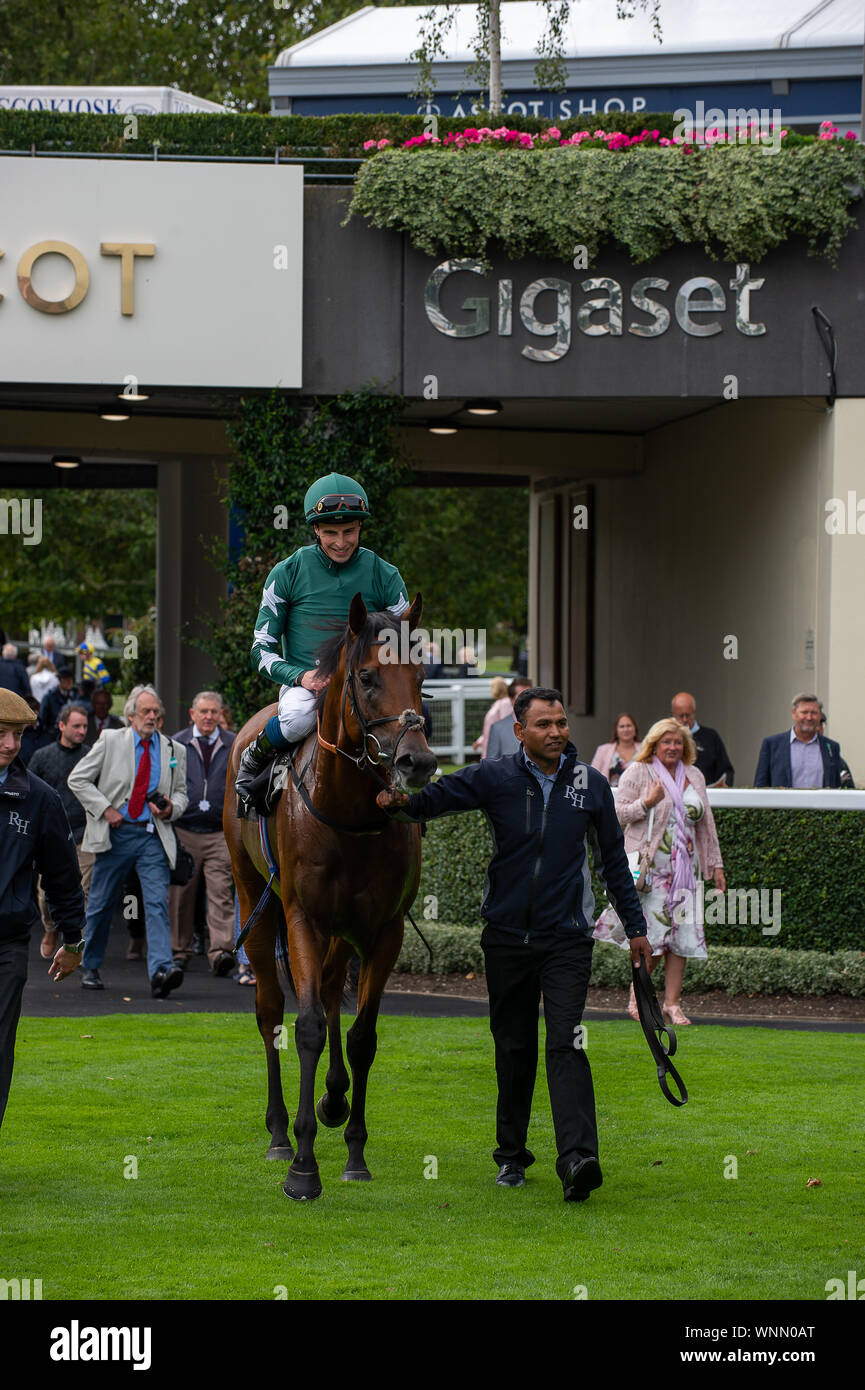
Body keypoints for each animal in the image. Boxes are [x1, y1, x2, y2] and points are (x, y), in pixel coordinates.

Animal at [225, 586, 439, 1195]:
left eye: (422, 675)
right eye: (366, 677)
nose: (417, 761)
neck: (349, 815)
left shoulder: (383, 929)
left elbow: (362, 1035)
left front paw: (353, 1149)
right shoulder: (303, 917)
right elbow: (307, 1027)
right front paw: (302, 1164)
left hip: (344, 931)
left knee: (325, 987)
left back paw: (334, 1098)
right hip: (255, 900)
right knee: (270, 1009)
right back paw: (277, 1131)